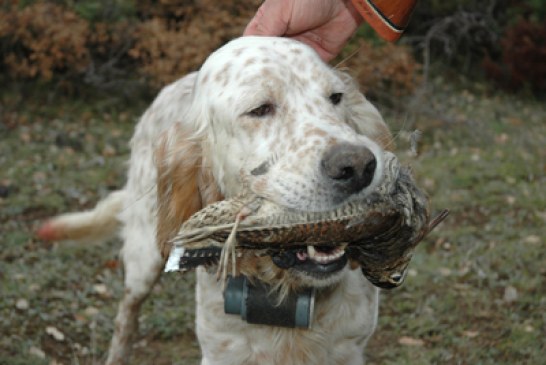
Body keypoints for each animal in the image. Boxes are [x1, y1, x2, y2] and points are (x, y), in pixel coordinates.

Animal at [39, 37, 392, 364]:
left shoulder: (348, 349)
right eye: (260, 109)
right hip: (144, 256)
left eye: (336, 98)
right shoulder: (222, 349)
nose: (359, 167)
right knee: (127, 314)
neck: (281, 286)